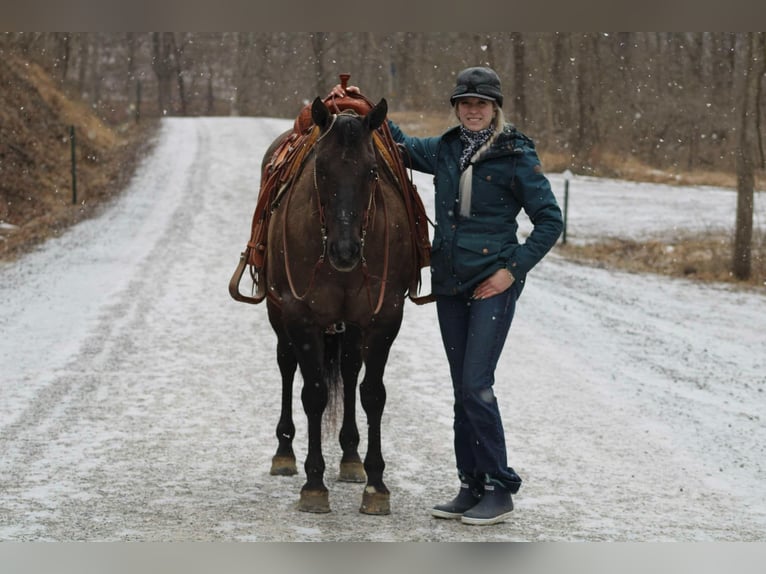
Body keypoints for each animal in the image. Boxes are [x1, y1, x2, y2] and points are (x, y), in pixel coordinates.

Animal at [260, 97, 416, 516]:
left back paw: (350, 457)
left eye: (372, 171)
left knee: (348, 372)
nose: (345, 251)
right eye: (321, 168)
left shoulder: (382, 319)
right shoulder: (301, 318)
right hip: (278, 315)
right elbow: (313, 393)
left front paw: (376, 485)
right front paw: (314, 484)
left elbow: (372, 394)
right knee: (286, 365)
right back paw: (284, 451)